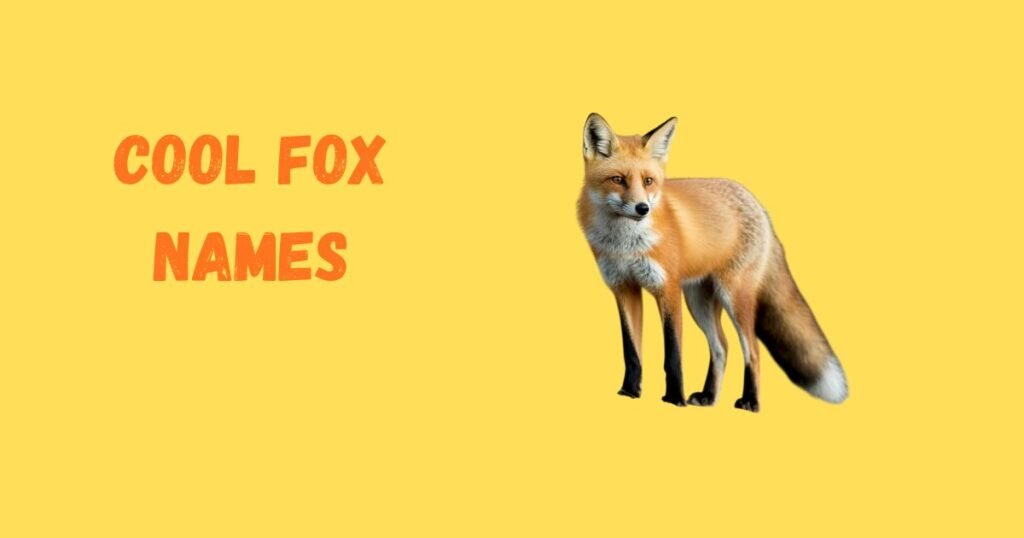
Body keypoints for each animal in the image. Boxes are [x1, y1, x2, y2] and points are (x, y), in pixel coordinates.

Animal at [577, 113, 848, 412]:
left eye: (648, 181)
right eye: (618, 179)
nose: (642, 208)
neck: (625, 244)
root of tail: (757, 204)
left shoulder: (667, 288)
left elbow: (673, 354)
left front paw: (674, 398)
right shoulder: (624, 289)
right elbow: (631, 351)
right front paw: (630, 391)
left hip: (734, 297)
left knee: (752, 350)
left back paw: (750, 401)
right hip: (699, 301)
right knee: (721, 347)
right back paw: (708, 396)